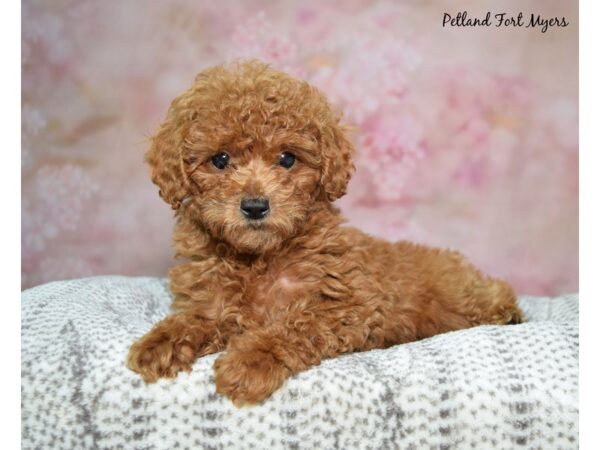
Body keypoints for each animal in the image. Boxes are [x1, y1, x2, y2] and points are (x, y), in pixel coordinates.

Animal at [127, 58, 520, 406]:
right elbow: (196, 319)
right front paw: (160, 342)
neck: (257, 258)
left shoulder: (353, 304)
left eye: (287, 159)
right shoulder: (214, 303)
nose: (255, 206)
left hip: (463, 298)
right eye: (220, 159)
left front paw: (250, 361)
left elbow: (296, 325)